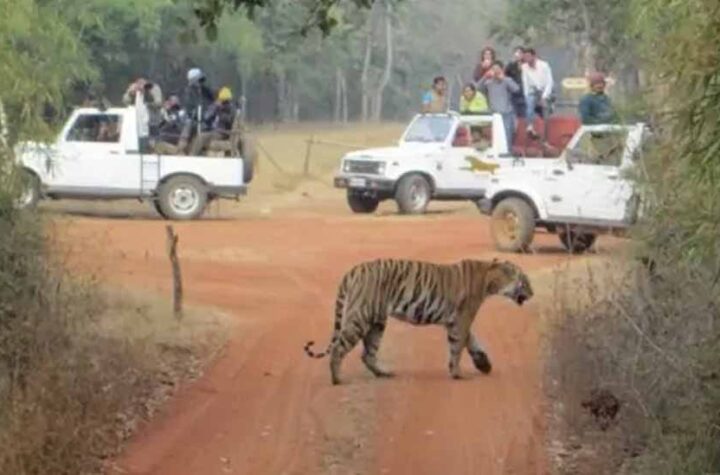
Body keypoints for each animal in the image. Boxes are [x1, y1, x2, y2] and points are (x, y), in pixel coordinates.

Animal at [304, 258, 533, 385]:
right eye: (525, 282)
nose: (532, 293)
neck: (491, 279)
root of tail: (352, 271)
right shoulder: (462, 318)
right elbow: (457, 347)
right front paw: (457, 374)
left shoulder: (456, 321)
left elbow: (470, 341)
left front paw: (483, 364)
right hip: (360, 318)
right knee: (338, 349)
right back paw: (338, 380)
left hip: (377, 323)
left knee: (367, 354)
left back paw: (383, 374)